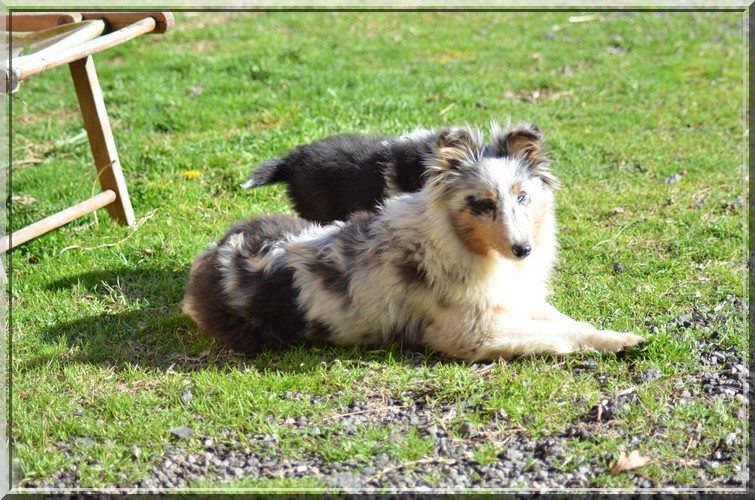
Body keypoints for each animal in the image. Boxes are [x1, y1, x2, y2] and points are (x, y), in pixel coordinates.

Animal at [184, 125, 644, 361]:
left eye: (522, 196)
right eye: (481, 204)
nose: (523, 250)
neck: (465, 248)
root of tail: (214, 253)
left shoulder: (514, 300)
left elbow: (570, 323)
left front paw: (623, 337)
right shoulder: (470, 334)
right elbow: (556, 336)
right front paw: (620, 344)